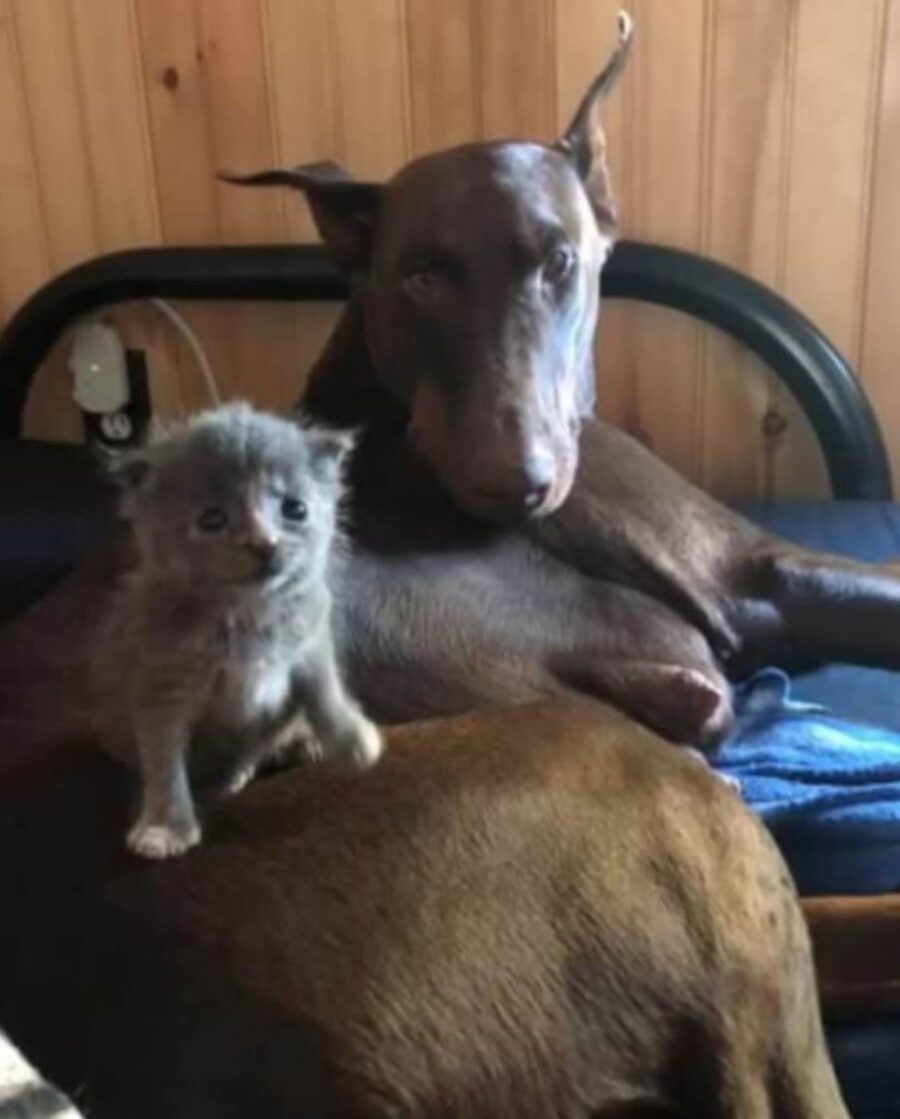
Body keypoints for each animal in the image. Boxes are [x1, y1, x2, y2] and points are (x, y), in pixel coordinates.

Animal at [92, 400, 380, 854]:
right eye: (213, 519)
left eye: (295, 509)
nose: (265, 542)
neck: (249, 614)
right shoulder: (159, 683)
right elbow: (163, 761)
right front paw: (164, 826)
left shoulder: (312, 638)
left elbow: (324, 691)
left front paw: (351, 738)